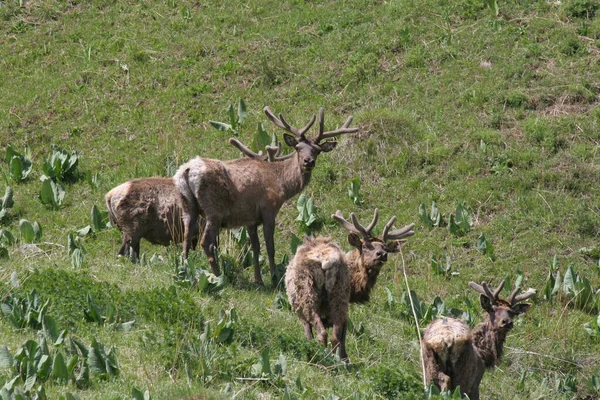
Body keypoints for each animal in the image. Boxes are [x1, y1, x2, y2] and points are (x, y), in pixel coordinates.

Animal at [173, 106, 360, 284]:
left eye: (318, 150)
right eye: (298, 148)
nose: (309, 161)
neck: (282, 182)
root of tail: (187, 170)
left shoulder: (250, 219)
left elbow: (255, 247)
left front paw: (258, 279)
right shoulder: (269, 209)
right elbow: (270, 246)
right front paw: (274, 277)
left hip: (188, 207)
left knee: (186, 239)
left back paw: (185, 271)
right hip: (214, 210)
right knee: (206, 241)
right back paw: (219, 276)